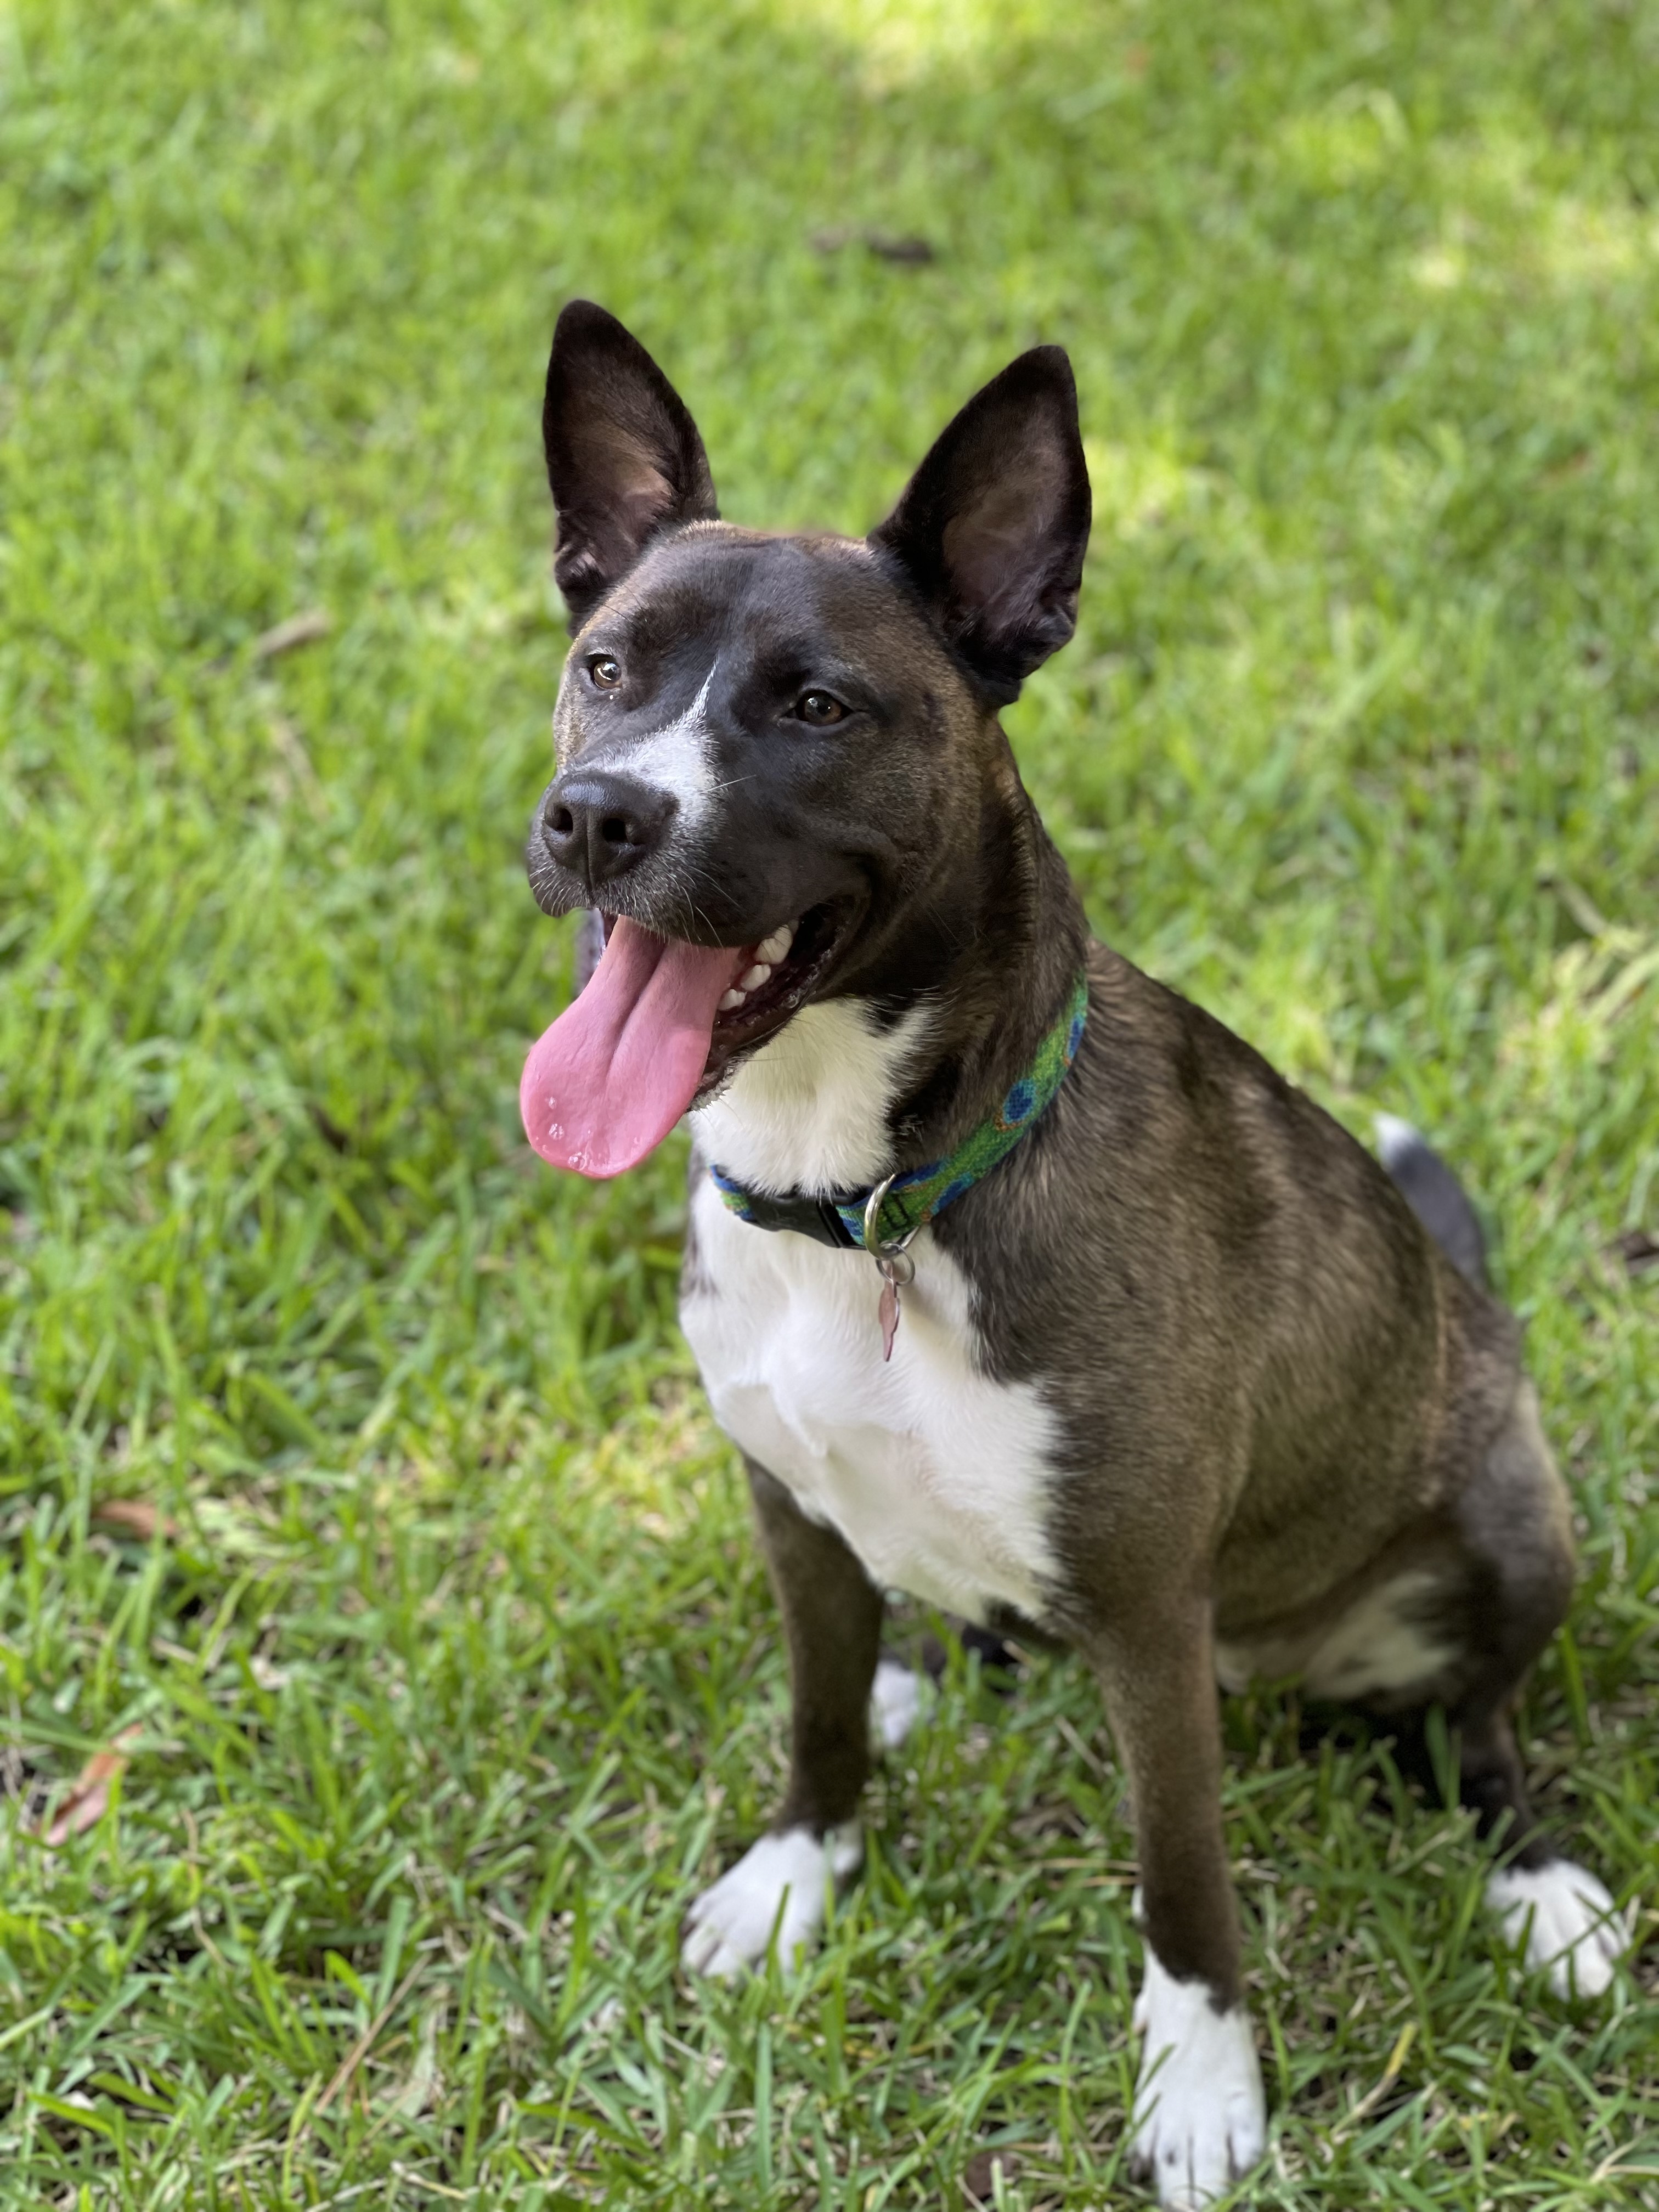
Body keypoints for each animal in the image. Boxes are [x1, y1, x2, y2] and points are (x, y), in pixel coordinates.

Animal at [517, 303, 1628, 2203]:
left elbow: (1186, 1889)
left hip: (1506, 1517)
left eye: (818, 705)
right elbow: (816, 1721)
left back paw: (1538, 1883)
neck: (874, 1203)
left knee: (1480, 1725)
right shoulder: (787, 1506)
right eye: (608, 665)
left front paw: (1204, 2090)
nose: (600, 815)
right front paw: (802, 1868)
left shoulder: (1147, 1617)